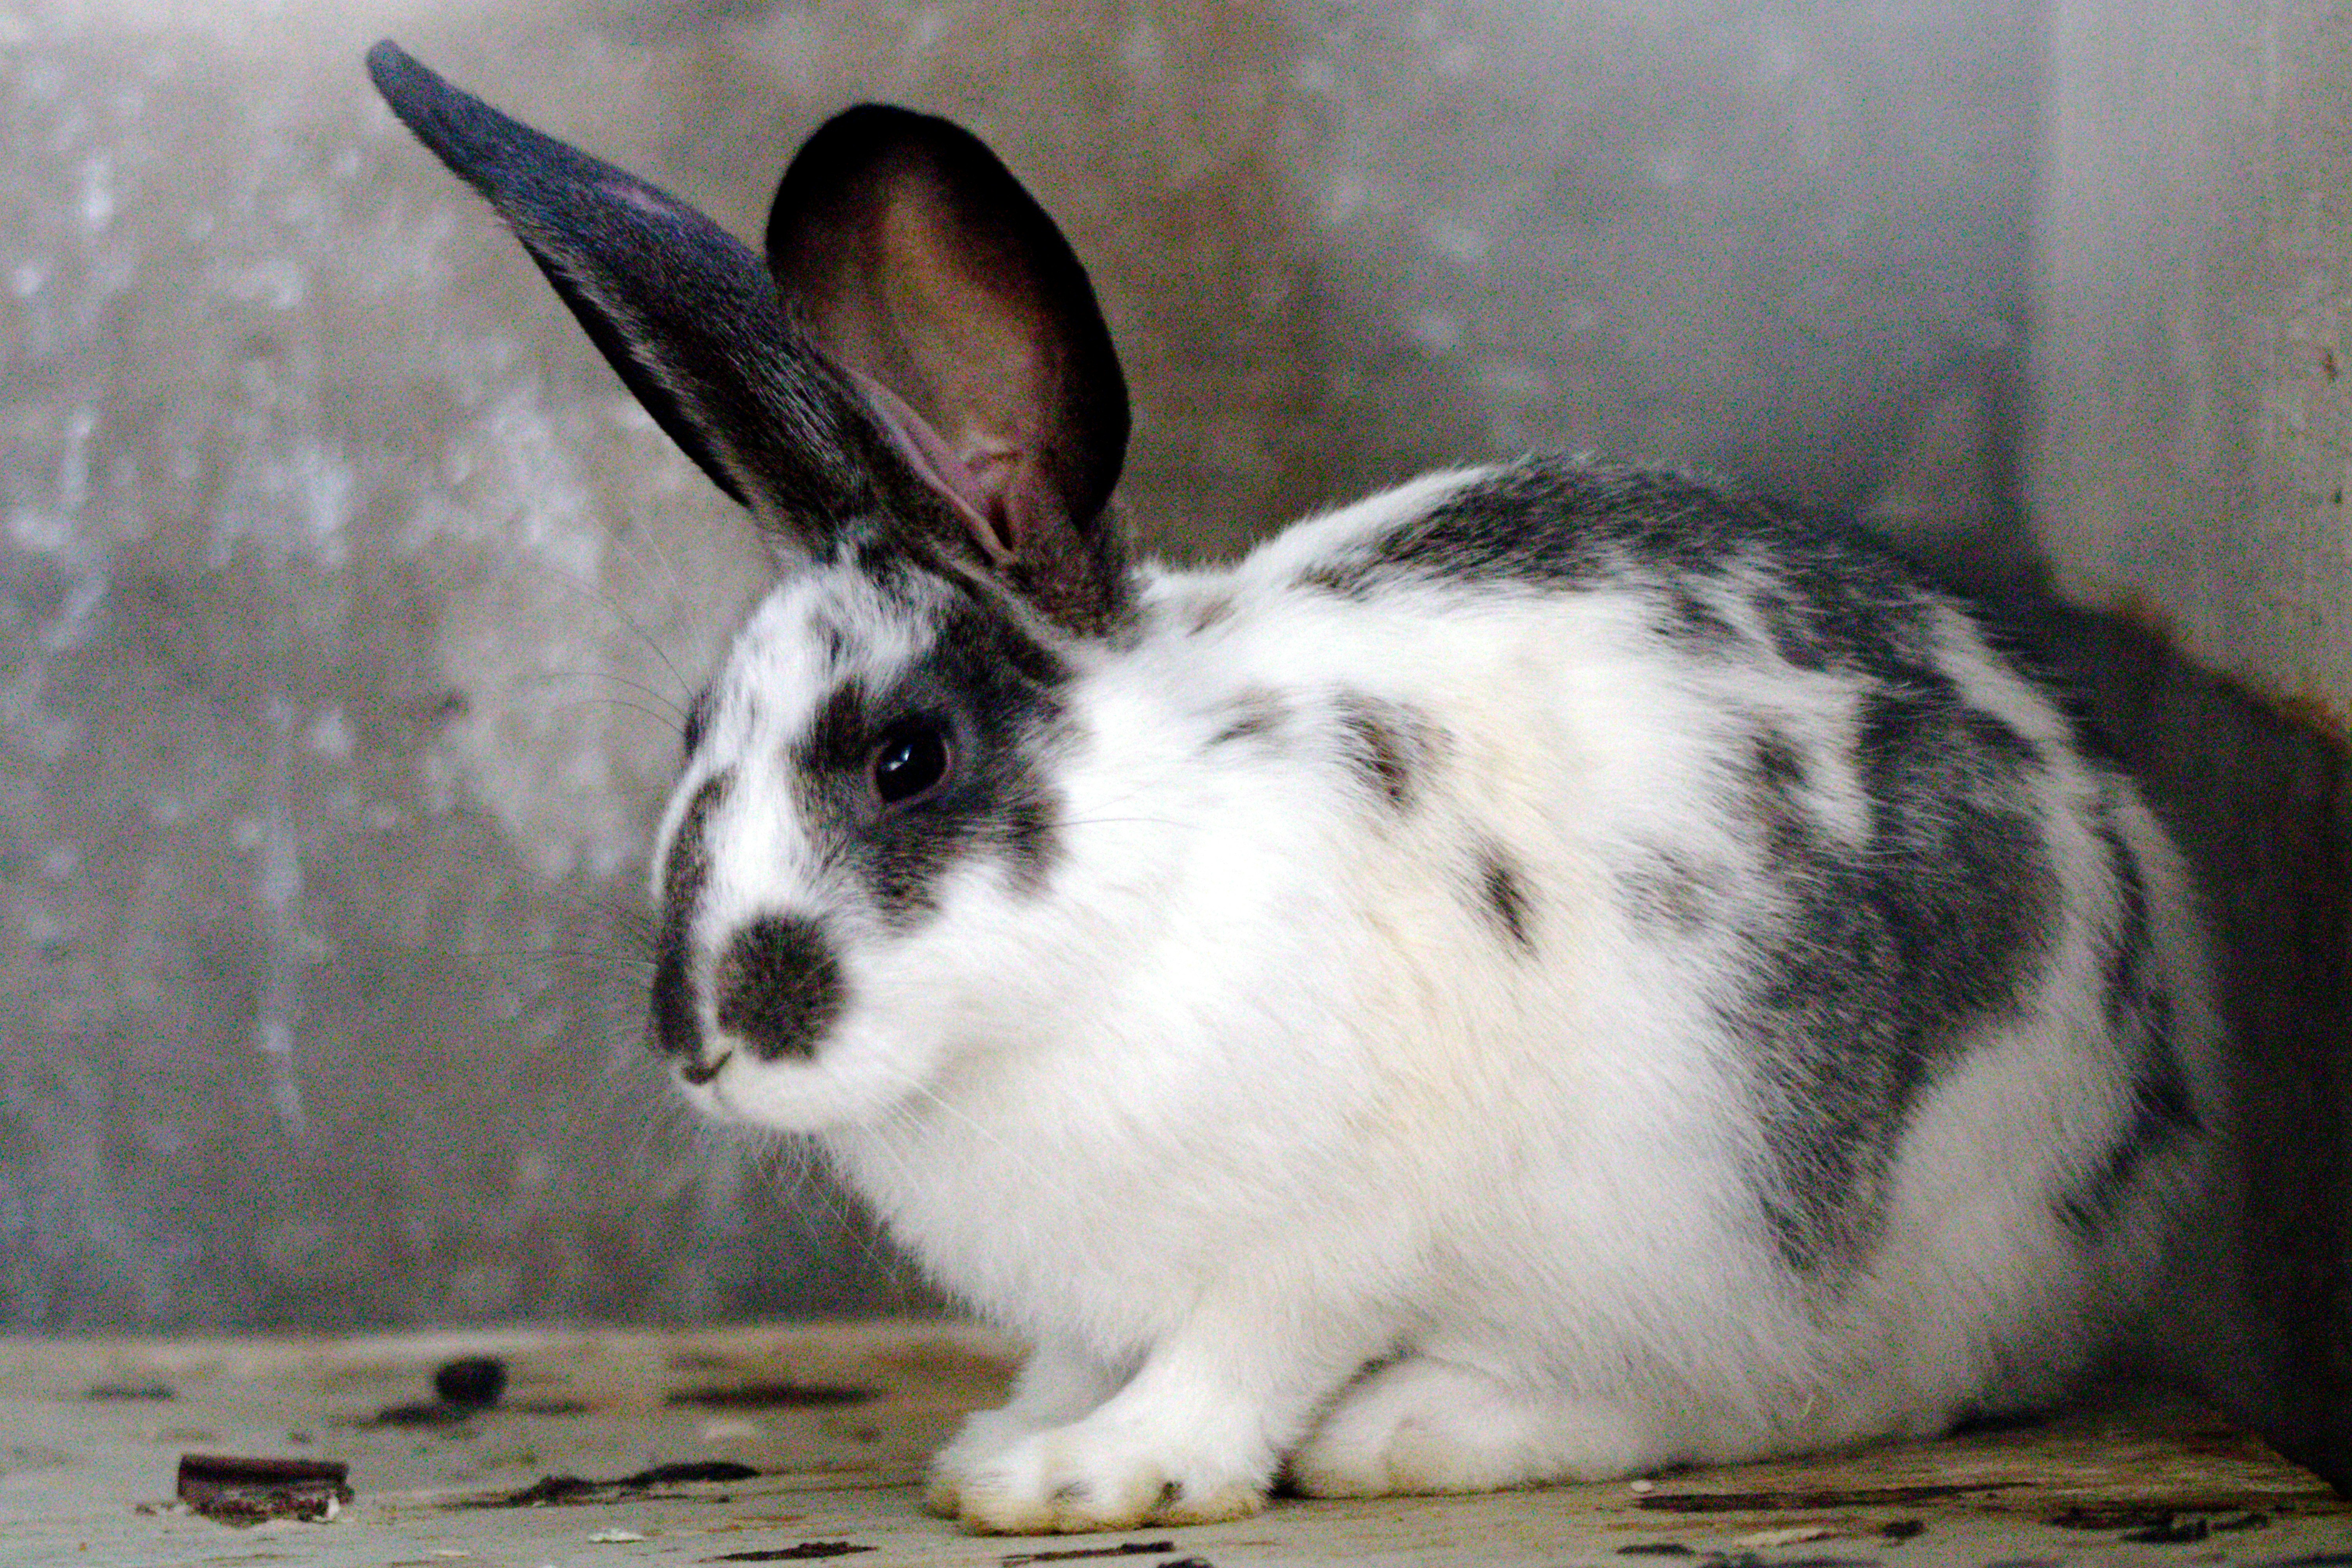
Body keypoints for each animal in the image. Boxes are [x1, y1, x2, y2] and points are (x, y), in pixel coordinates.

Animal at [369, 42, 2224, 1536]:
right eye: (695, 726)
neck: (1130, 906)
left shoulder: (1314, 1243)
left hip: (1745, 1220)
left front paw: (1079, 1476)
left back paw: (1427, 1427)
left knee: (1788, 1392)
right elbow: (1081, 1349)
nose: (705, 1039)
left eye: (908, 759)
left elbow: (1231, 1366)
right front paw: (1010, 1430)